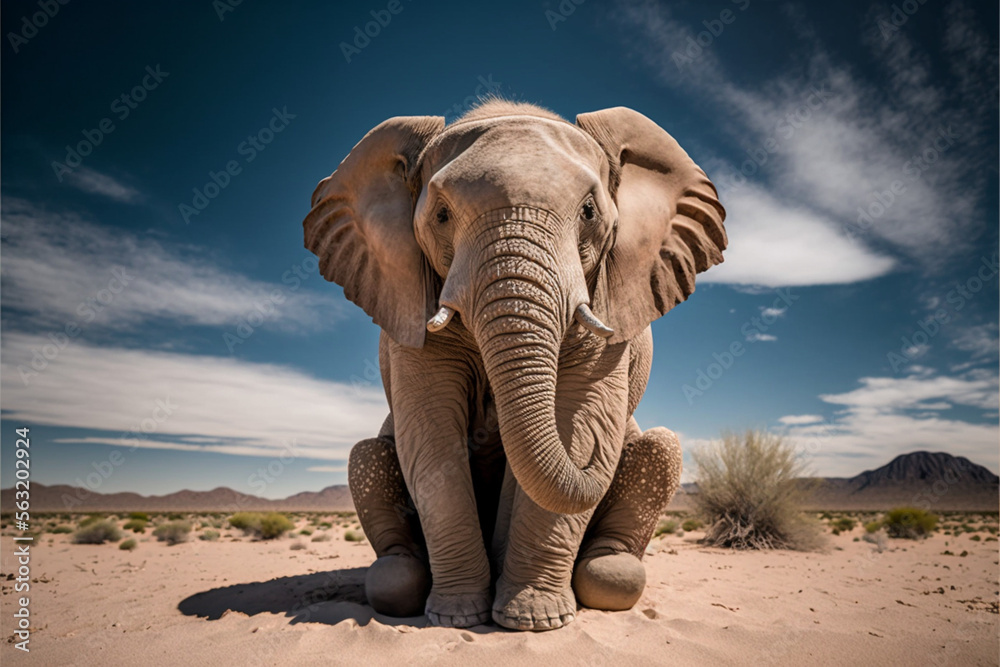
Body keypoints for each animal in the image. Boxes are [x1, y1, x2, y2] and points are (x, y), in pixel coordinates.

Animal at [303, 100, 726, 631]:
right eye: (441, 215)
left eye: (589, 212)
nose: (596, 456)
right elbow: (431, 435)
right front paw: (457, 617)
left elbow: (575, 420)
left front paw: (531, 620)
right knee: (366, 456)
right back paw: (402, 576)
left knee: (660, 448)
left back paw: (606, 570)